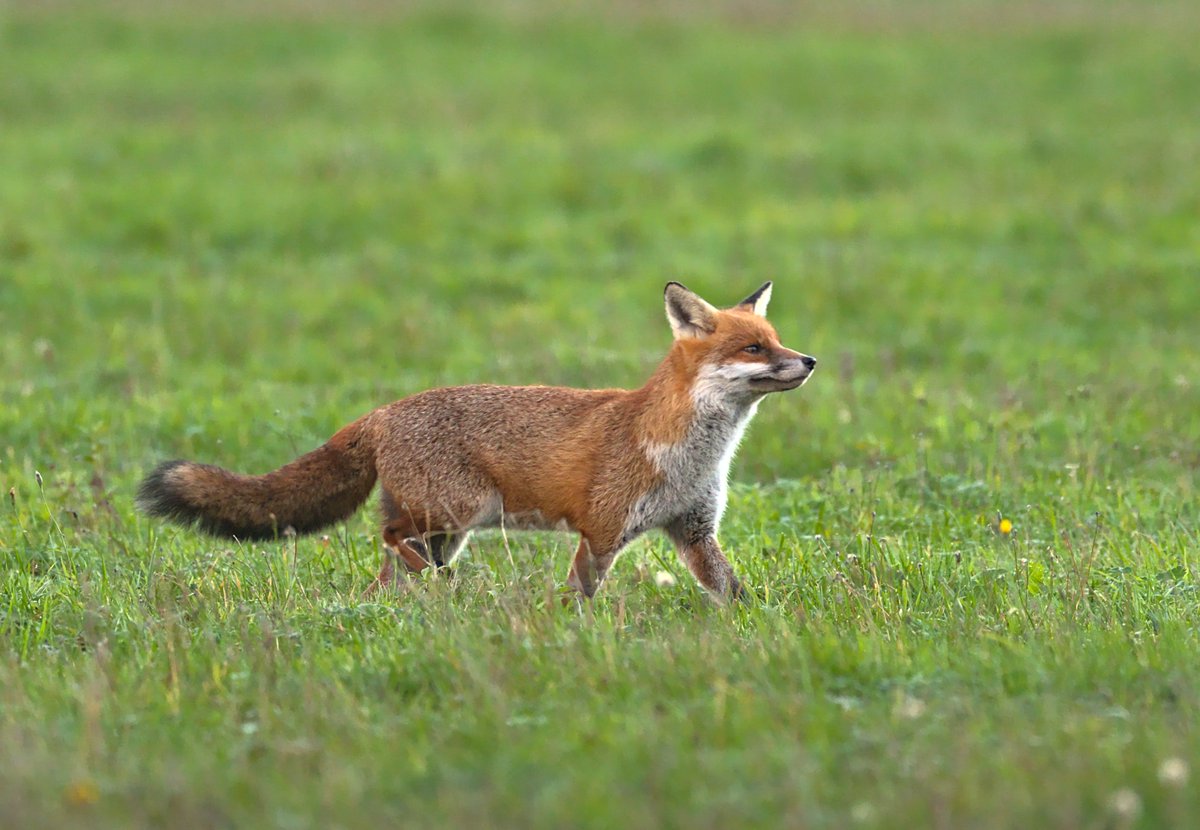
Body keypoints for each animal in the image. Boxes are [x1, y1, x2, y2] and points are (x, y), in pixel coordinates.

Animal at [137, 282, 816, 602]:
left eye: (777, 339)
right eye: (753, 348)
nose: (808, 360)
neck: (690, 454)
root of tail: (382, 412)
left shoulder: (694, 531)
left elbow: (736, 593)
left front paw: (763, 624)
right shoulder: (601, 532)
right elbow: (581, 594)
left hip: (449, 530)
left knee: (388, 571)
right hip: (456, 512)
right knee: (391, 539)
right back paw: (448, 591)